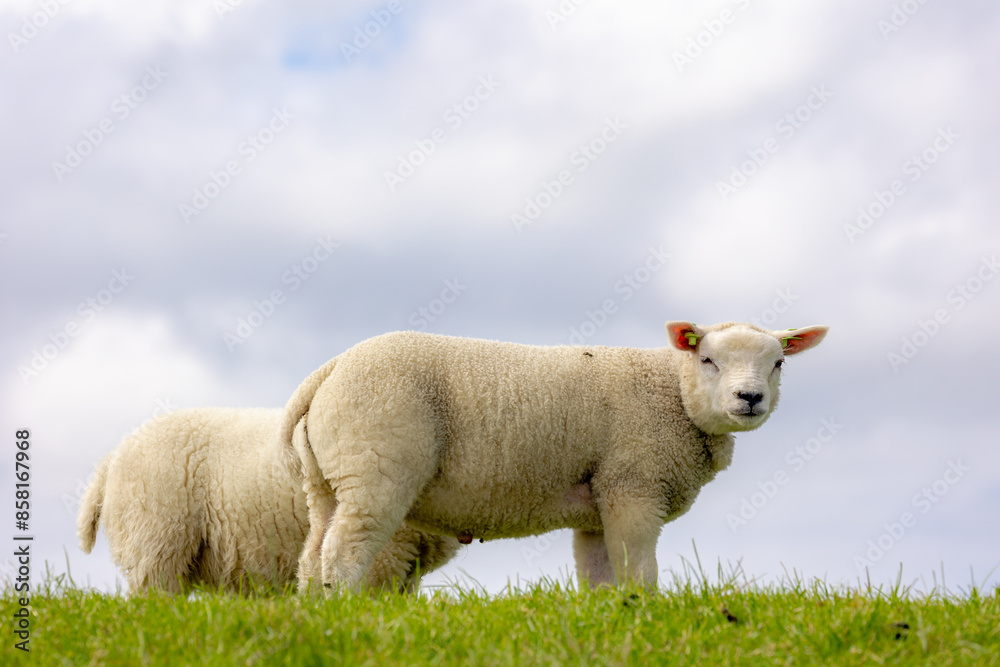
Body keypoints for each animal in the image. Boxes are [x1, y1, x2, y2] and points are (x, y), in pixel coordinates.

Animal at [280, 321, 828, 592]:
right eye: (708, 359)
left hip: (325, 480)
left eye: (778, 363)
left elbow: (600, 578)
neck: (672, 389)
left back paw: (315, 614)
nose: (749, 398)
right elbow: (640, 571)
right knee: (345, 551)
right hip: (375, 466)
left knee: (312, 554)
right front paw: (647, 615)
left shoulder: (599, 502)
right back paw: (344, 612)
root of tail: (329, 370)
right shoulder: (634, 485)